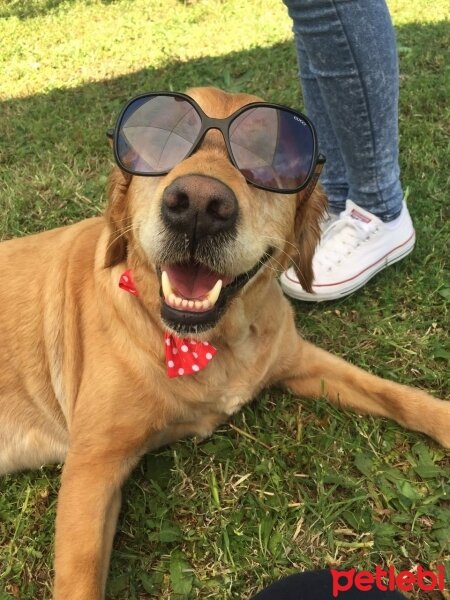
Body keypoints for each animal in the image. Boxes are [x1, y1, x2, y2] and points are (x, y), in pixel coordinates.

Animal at [0, 85, 448, 600]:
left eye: (271, 162)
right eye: (161, 140)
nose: (198, 205)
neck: (215, 344)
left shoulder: (298, 360)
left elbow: (398, 394)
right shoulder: (91, 466)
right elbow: (80, 579)